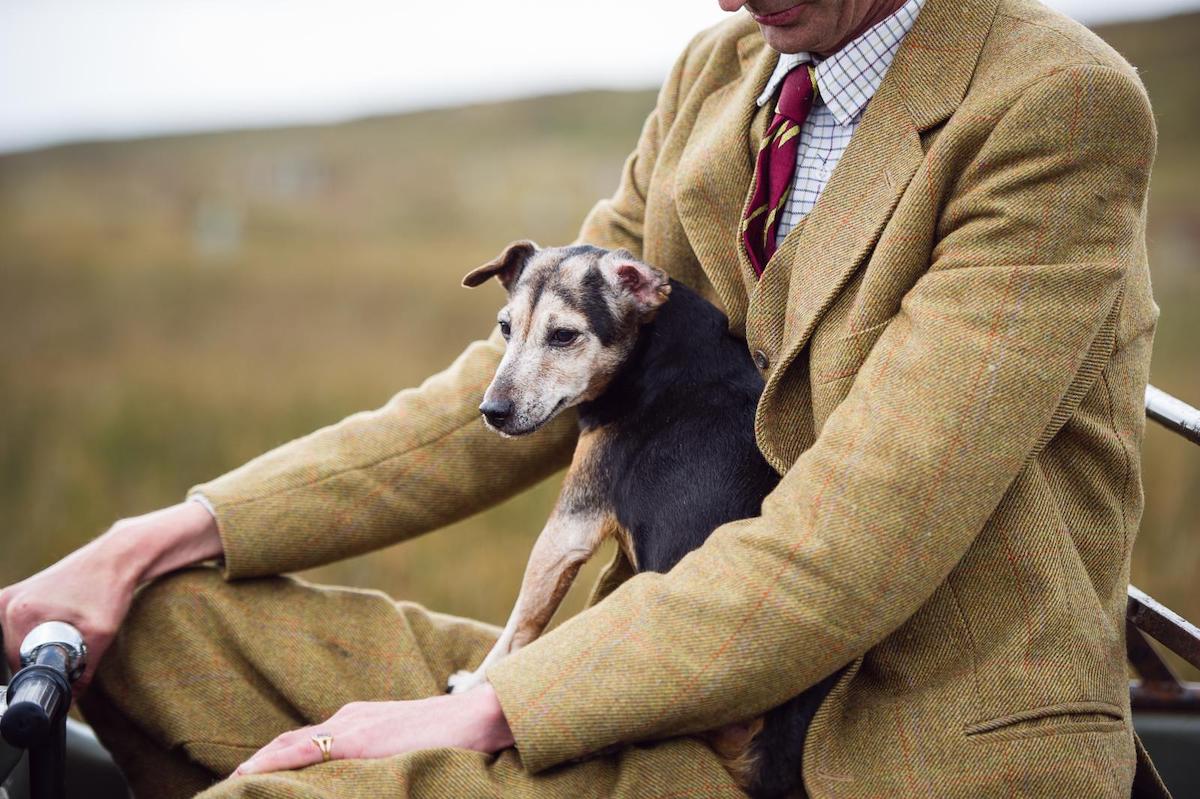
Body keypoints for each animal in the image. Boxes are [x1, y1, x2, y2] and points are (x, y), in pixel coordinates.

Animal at [448, 239, 835, 791]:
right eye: (505, 327)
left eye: (563, 336)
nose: (492, 412)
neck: (651, 348)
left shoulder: (570, 525)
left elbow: (520, 626)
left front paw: (471, 684)